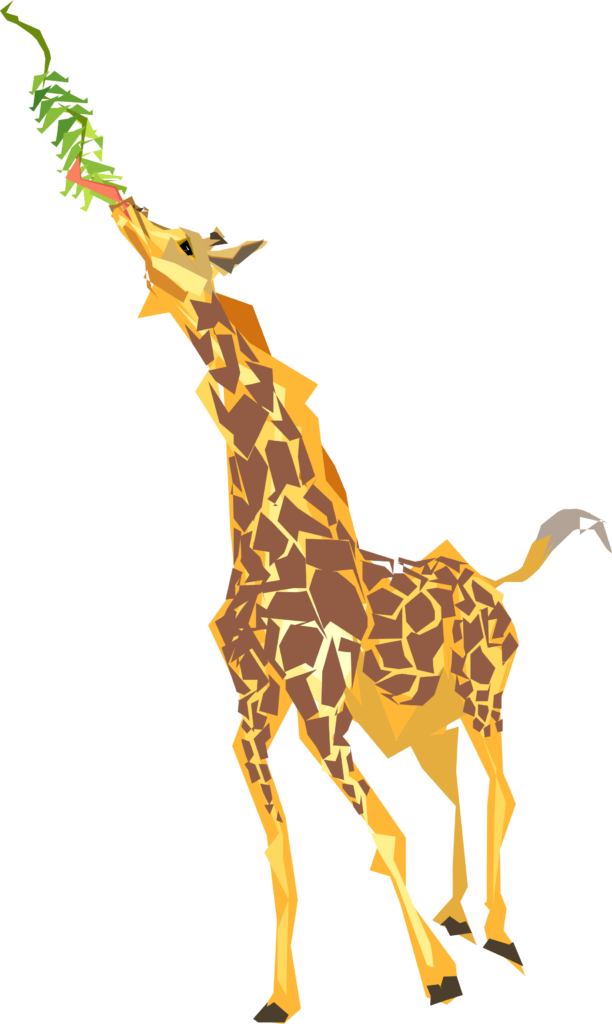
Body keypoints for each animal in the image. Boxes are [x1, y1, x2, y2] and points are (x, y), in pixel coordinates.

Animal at [108, 195, 611, 1021]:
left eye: (183, 242)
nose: (123, 206)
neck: (265, 538)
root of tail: (498, 583)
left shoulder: (319, 709)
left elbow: (385, 834)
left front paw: (439, 979)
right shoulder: (254, 716)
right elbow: (281, 855)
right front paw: (281, 999)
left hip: (485, 696)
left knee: (502, 792)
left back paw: (499, 937)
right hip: (433, 725)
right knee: (459, 794)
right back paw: (455, 915)